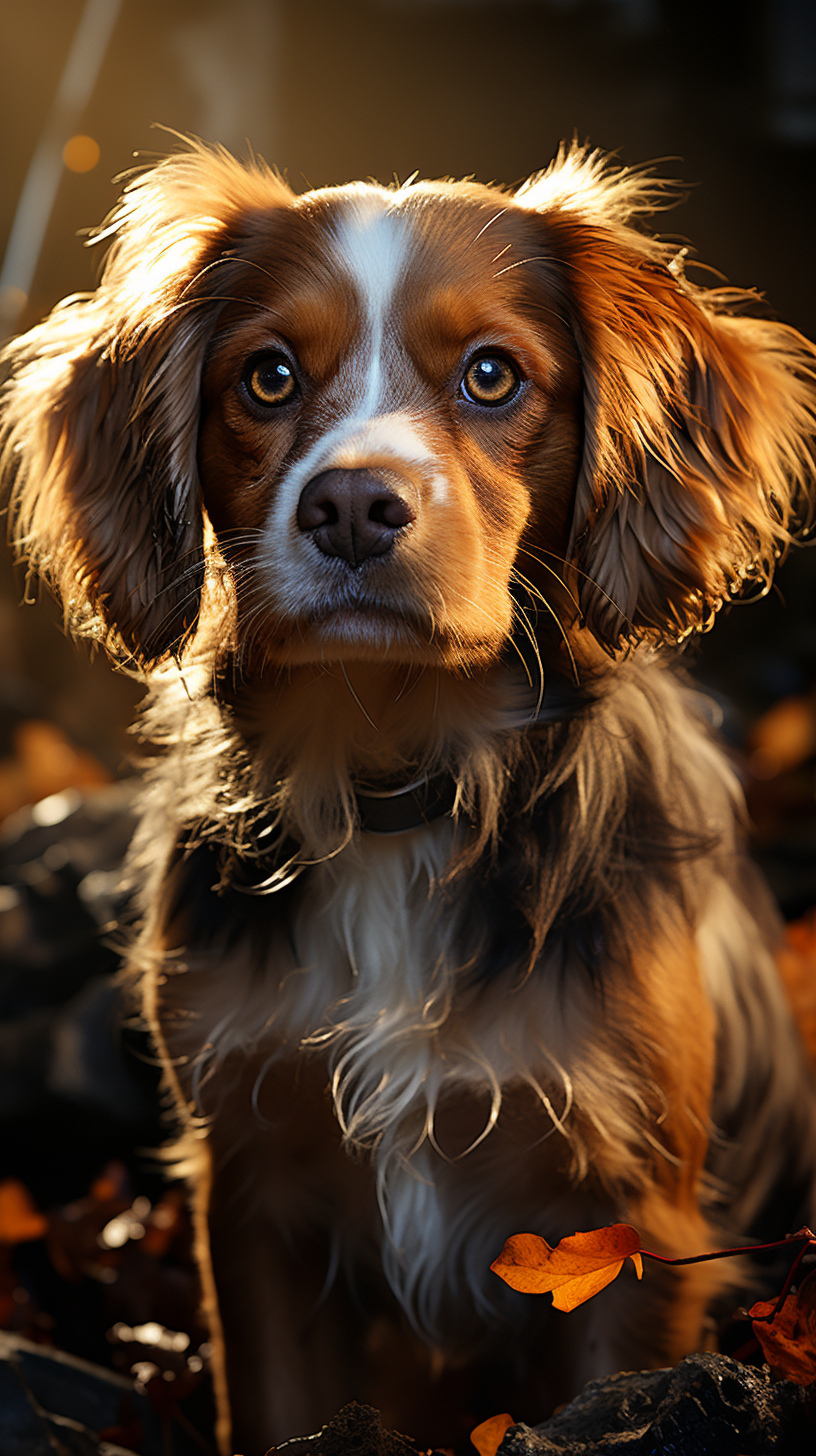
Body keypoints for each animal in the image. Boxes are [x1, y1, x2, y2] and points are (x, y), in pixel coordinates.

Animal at [4, 139, 816, 1456]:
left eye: (492, 376)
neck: (398, 780)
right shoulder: (254, 1187)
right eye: (268, 376)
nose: (348, 506)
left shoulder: (633, 1221)